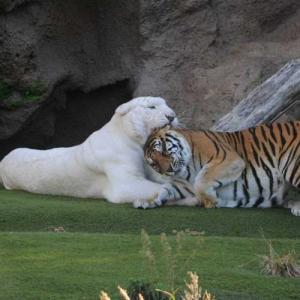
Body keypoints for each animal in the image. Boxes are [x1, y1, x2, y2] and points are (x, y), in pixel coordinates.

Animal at [144, 122, 300, 216]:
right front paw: (149, 201)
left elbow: (201, 181)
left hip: (292, 166)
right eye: (154, 164)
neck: (187, 170)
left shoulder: (228, 159)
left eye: (164, 149)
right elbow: (166, 188)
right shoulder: (184, 185)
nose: (168, 169)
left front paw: (212, 201)